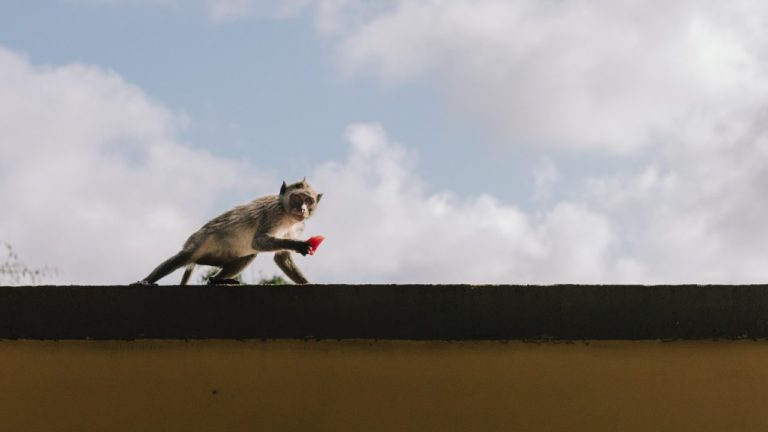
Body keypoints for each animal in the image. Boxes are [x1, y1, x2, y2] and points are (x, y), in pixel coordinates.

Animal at [135, 180, 320, 286]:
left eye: (308, 200)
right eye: (297, 198)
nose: (302, 209)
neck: (288, 217)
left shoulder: (299, 226)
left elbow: (281, 257)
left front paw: (306, 283)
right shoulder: (275, 213)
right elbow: (258, 241)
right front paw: (298, 245)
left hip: (217, 257)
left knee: (248, 254)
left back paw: (215, 280)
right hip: (198, 241)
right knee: (183, 256)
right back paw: (146, 281)